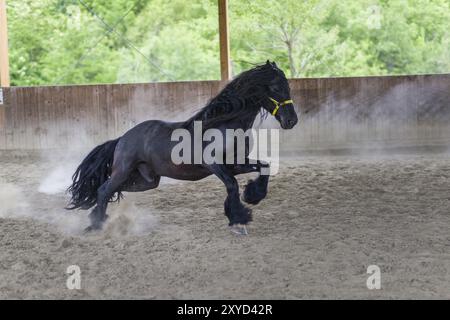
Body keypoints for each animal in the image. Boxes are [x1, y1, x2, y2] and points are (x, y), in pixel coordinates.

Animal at [67, 60, 298, 235]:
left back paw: (97, 219)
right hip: (123, 171)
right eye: (275, 87)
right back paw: (96, 225)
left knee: (109, 191)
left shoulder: (236, 163)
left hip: (146, 180)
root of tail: (122, 138)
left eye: (287, 86)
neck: (224, 124)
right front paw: (238, 218)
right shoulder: (214, 165)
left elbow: (265, 167)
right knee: (104, 190)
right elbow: (232, 185)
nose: (291, 121)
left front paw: (252, 196)